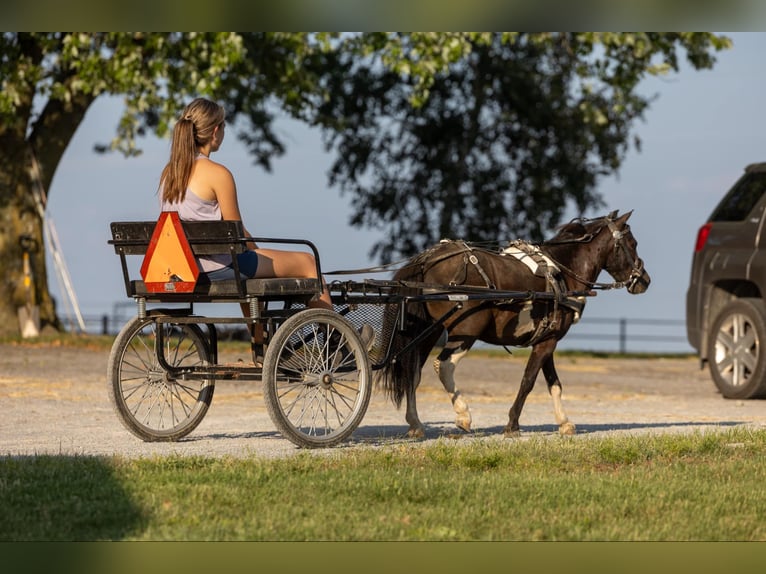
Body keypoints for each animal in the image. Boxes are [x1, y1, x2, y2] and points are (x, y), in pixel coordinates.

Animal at [378, 210, 651, 438]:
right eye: (632, 244)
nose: (644, 280)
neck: (563, 272)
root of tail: (427, 259)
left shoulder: (546, 339)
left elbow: (554, 383)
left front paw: (564, 422)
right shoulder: (547, 343)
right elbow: (528, 381)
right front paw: (512, 424)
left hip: (428, 332)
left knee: (412, 372)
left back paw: (415, 424)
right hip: (465, 332)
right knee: (443, 365)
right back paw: (463, 414)